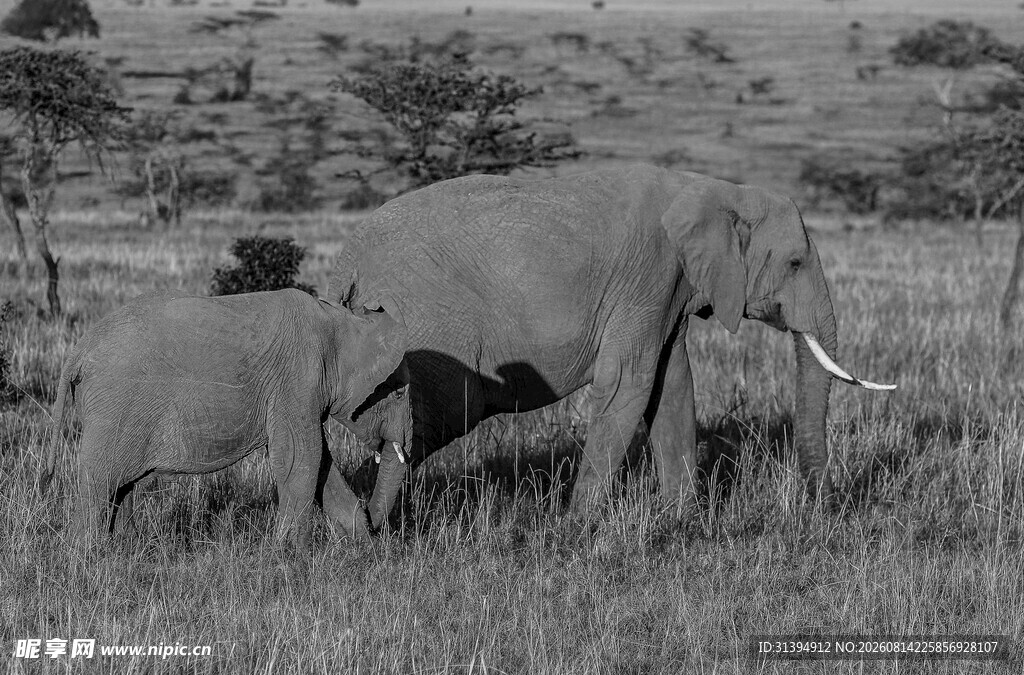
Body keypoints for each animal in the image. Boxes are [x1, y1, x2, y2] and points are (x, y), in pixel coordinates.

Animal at [39, 288, 413, 546]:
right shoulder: (297, 378)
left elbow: (320, 463)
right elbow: (301, 458)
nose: (377, 530)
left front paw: (359, 546)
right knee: (100, 481)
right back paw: (86, 557)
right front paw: (291, 555)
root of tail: (79, 350)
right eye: (396, 394)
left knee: (122, 486)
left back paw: (123, 550)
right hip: (115, 404)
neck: (341, 321)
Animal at [329, 164, 893, 528]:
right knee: (425, 420)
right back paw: (369, 523)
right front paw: (577, 530)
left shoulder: (669, 291)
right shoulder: (649, 278)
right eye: (795, 263)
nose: (826, 507)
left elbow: (672, 387)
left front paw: (681, 523)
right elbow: (630, 386)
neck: (715, 189)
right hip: (427, 325)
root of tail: (347, 260)